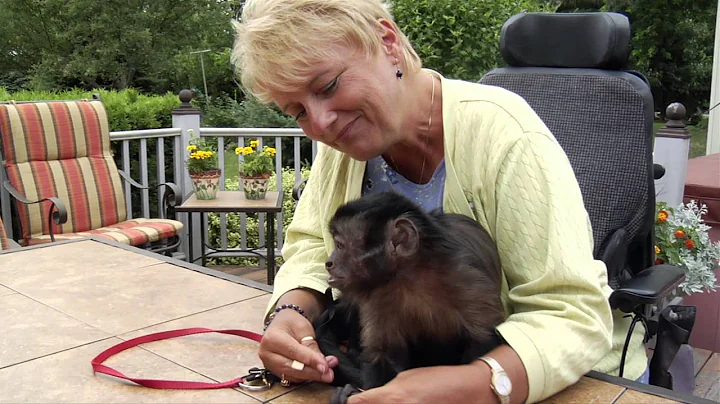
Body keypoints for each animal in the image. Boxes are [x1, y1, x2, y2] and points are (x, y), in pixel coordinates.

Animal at [314, 190, 506, 400]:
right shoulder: (379, 296)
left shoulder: (467, 279)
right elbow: (383, 354)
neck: (410, 278)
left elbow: (481, 340)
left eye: (340, 245)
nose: (328, 262)